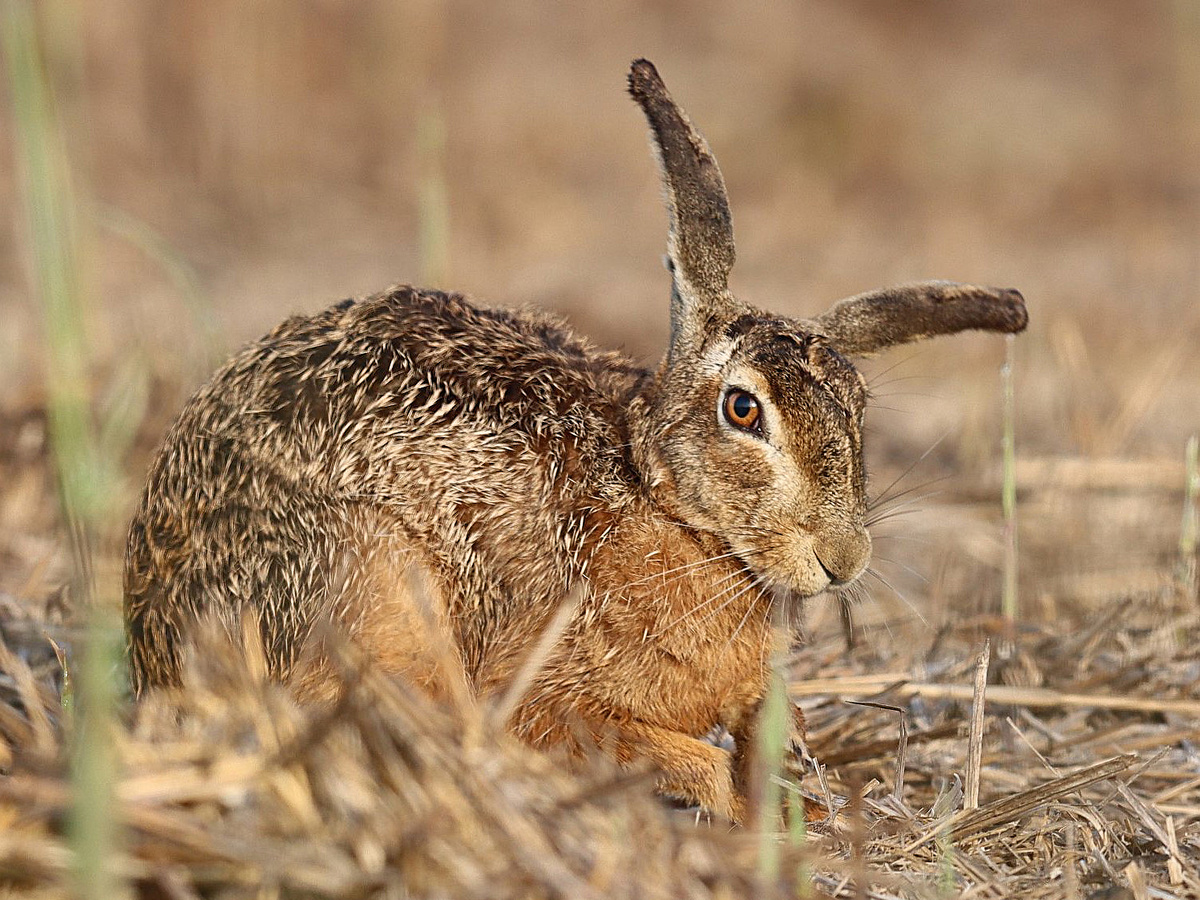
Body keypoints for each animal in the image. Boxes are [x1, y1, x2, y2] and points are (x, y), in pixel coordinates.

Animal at [124, 59, 1027, 823]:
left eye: (856, 408)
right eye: (744, 411)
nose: (844, 560)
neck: (666, 508)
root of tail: (148, 625)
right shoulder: (545, 692)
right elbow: (660, 751)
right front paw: (726, 817)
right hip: (368, 584)